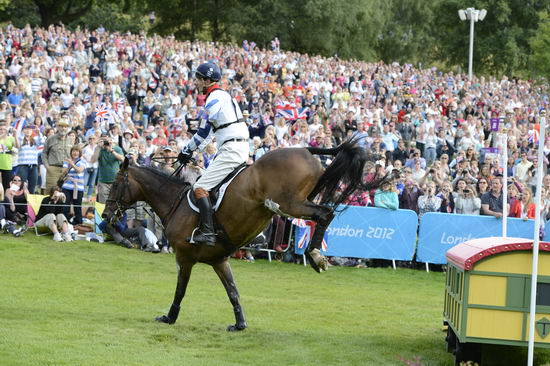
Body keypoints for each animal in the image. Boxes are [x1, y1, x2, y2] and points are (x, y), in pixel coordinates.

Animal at [104, 138, 388, 332]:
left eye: (116, 183)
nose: (106, 216)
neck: (176, 203)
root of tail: (306, 150)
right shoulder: (220, 260)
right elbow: (233, 292)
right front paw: (239, 324)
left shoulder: (184, 258)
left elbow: (180, 291)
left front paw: (169, 317)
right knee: (324, 214)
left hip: (289, 203)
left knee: (325, 214)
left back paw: (315, 254)